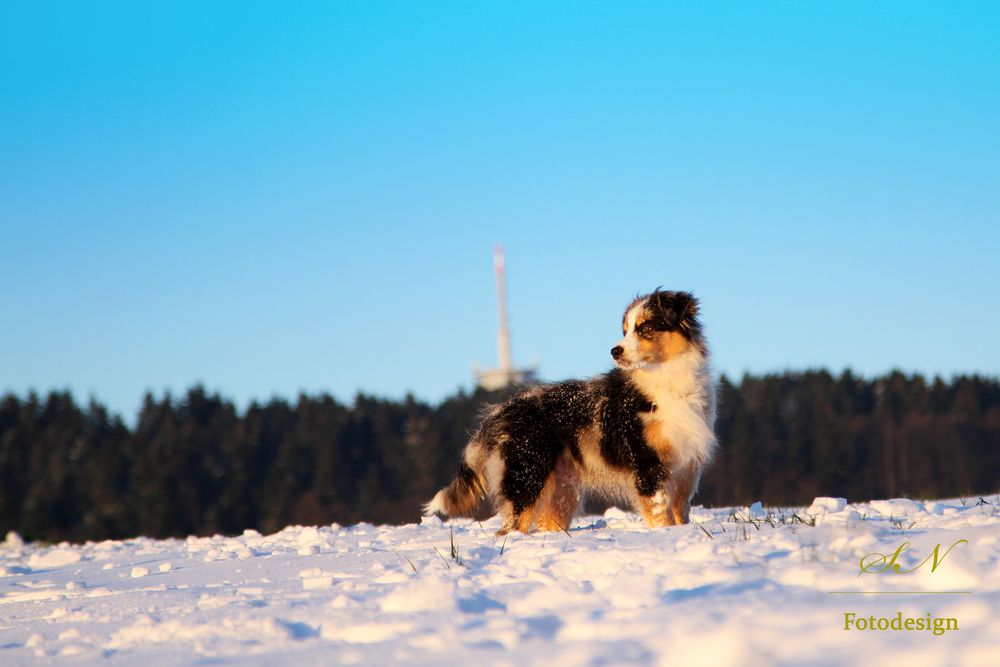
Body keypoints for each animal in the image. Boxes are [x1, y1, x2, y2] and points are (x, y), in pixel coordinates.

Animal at [426, 290, 716, 536]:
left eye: (645, 327)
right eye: (624, 331)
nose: (615, 351)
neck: (665, 379)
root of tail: (500, 411)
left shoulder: (687, 467)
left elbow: (680, 509)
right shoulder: (647, 462)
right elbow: (661, 512)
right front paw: (665, 535)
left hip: (562, 490)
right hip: (527, 475)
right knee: (511, 527)